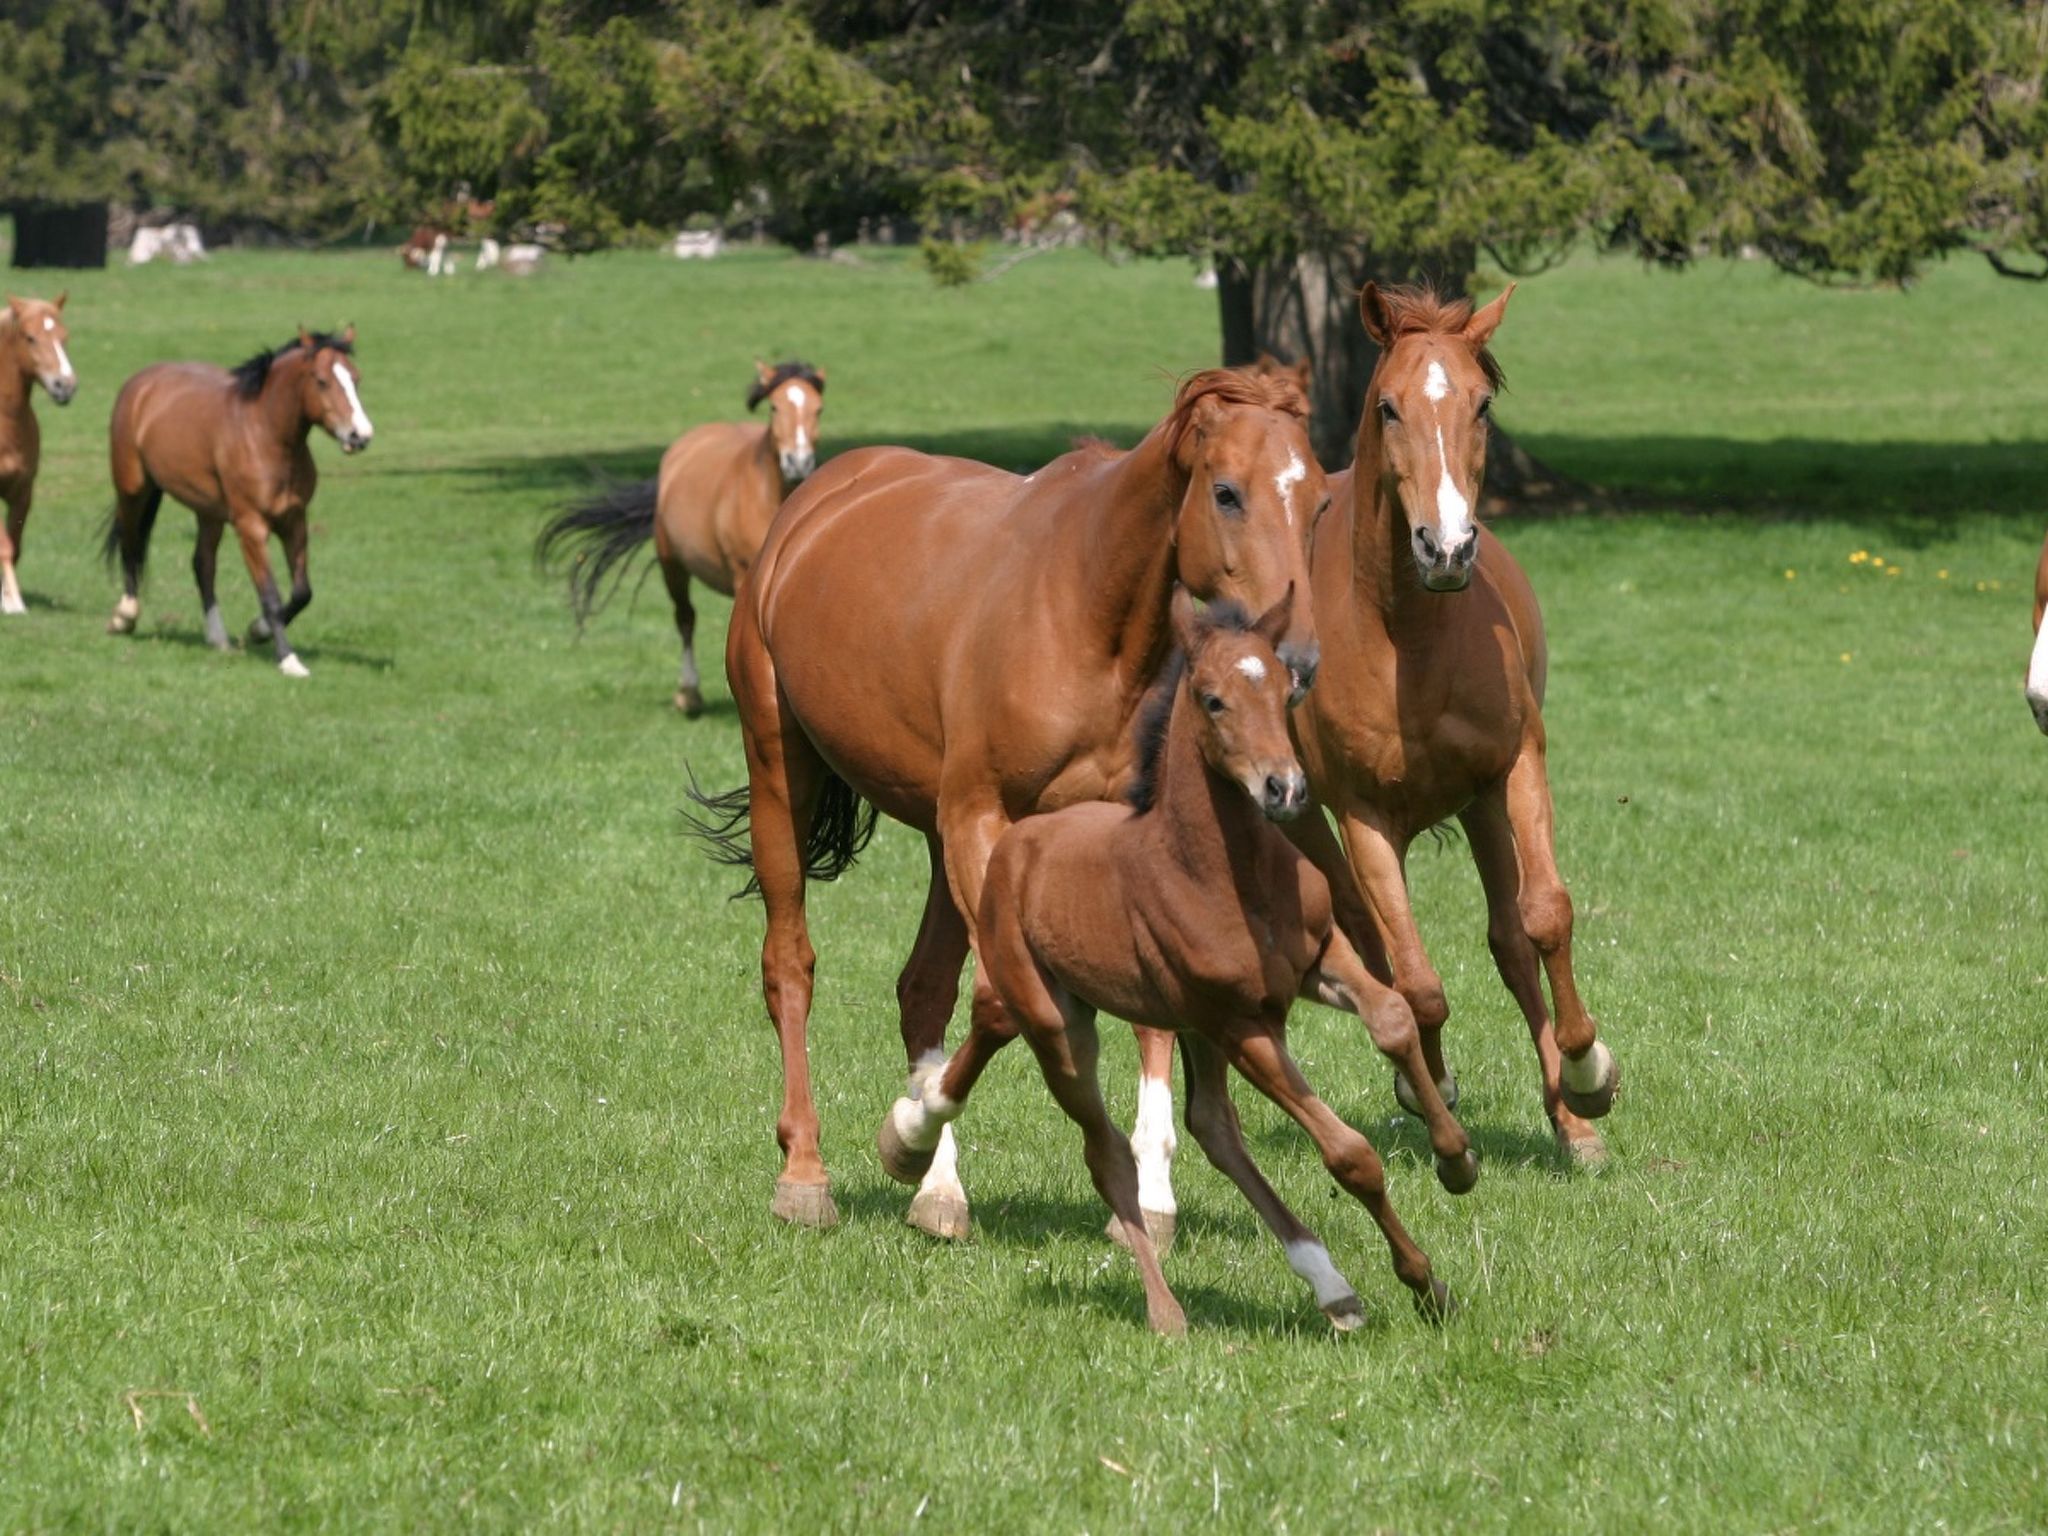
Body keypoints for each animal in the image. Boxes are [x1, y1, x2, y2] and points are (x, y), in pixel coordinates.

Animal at [105, 329, 376, 679]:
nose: (360, 435)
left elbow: (302, 592)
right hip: (132, 489)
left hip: (208, 511)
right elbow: (271, 596)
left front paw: (258, 630)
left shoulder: (294, 521)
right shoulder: (251, 527)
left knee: (203, 564)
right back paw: (124, 616)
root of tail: (140, 383)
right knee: (131, 544)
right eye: (321, 381)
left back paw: (218, 638)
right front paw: (289, 659)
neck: (263, 435)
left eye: (356, 378)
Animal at [536, 360, 823, 716]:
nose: (798, 462)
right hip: (671, 564)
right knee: (685, 618)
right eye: (774, 406)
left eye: (818, 409)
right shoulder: (743, 575)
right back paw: (689, 693)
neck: (769, 496)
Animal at [876, 589, 1474, 1335]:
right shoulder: (1243, 1023)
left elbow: (1392, 1016)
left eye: (1287, 690)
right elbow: (1350, 1154)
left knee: (1215, 1129)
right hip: (1062, 1026)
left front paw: (1455, 1161)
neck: (1224, 874)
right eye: (1213, 700)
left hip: (1186, 1026)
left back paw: (1331, 1286)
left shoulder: (1316, 961)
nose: (1284, 789)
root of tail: (1017, 844)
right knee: (1105, 1152)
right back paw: (1166, 1310)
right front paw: (1422, 1277)